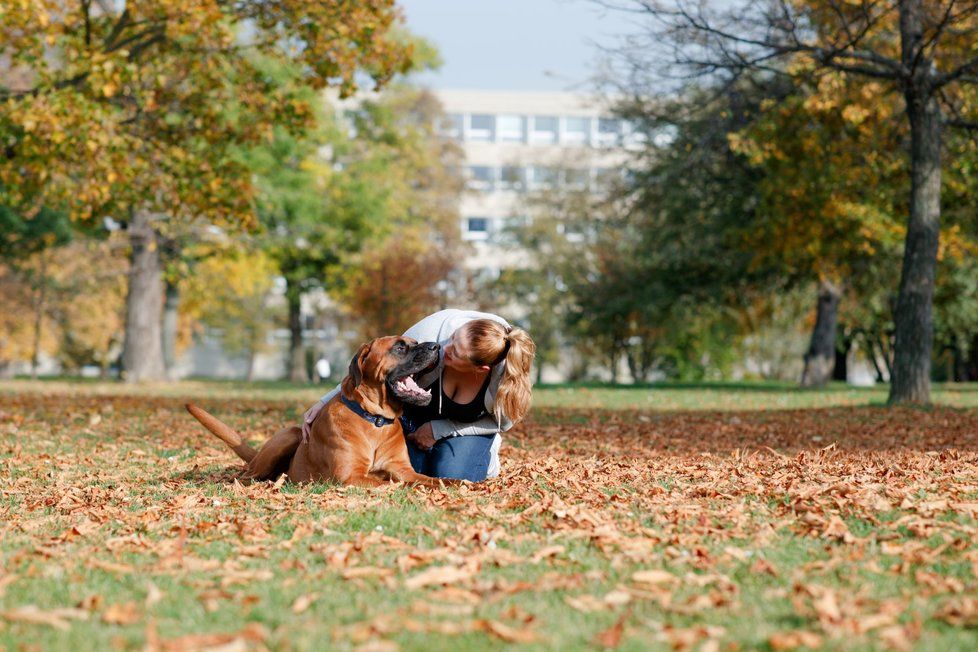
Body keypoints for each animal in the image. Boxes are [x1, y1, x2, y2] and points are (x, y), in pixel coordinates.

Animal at [185, 338, 444, 486]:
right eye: (400, 347)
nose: (436, 346)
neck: (375, 420)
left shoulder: (403, 470)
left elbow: (437, 480)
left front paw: (452, 486)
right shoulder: (350, 476)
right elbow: (392, 485)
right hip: (290, 435)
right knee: (245, 476)